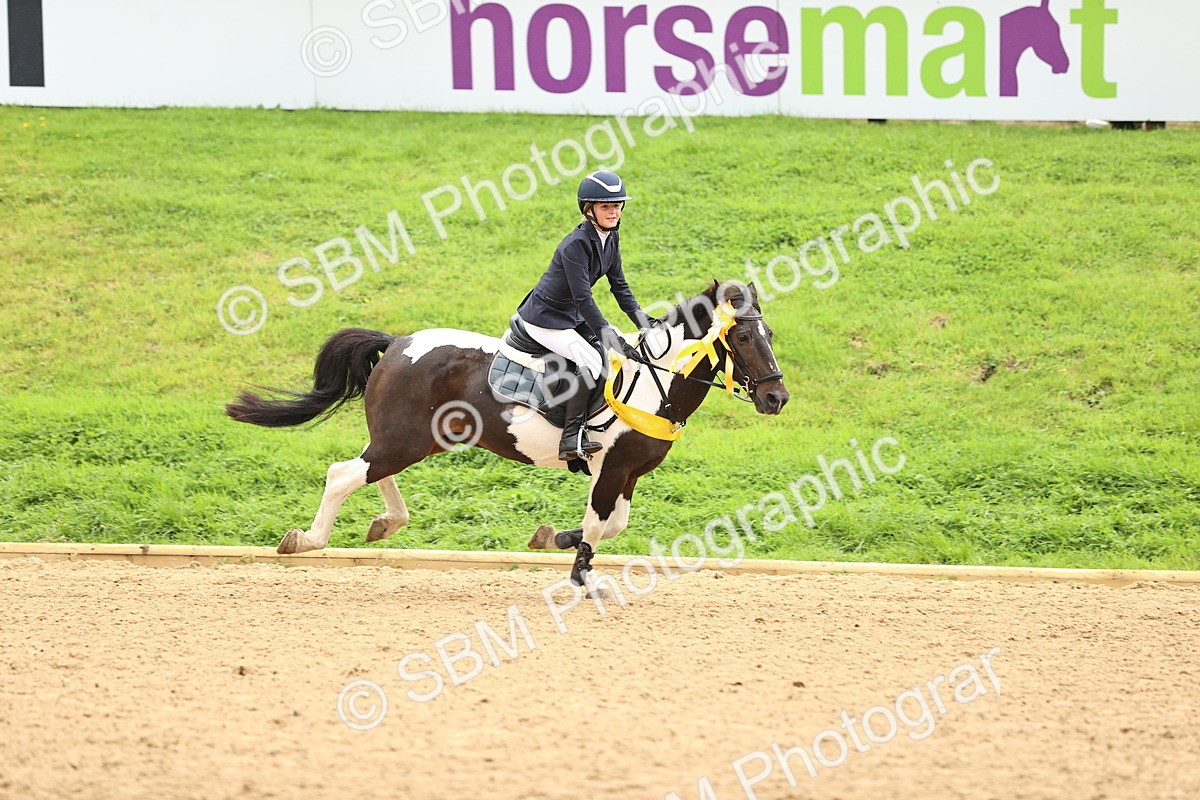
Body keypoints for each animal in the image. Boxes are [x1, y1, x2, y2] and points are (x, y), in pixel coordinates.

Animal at [225, 280, 789, 588]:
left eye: (769, 333)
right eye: (742, 336)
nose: (777, 398)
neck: (655, 382)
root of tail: (398, 342)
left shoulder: (625, 472)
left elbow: (611, 525)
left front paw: (552, 537)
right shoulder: (611, 469)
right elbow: (599, 525)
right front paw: (580, 574)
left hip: (407, 442)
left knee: (369, 471)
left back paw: (384, 524)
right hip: (402, 441)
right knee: (343, 474)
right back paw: (306, 540)